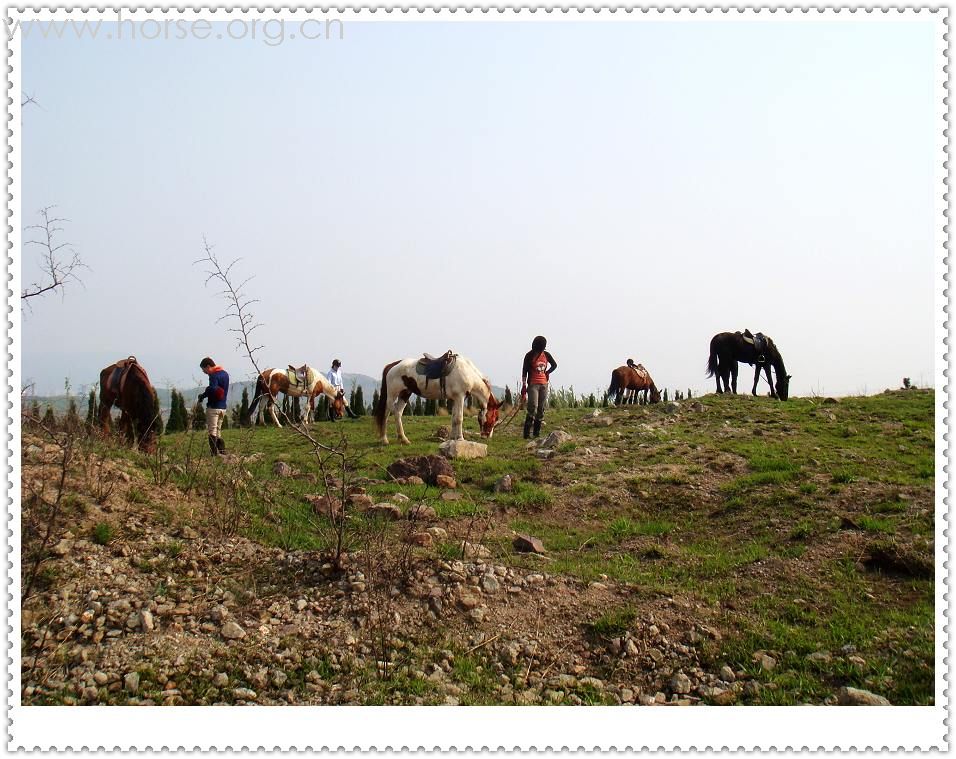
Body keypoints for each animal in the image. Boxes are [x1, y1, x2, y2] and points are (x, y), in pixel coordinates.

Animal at [374, 354, 504, 446]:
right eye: (494, 418)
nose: (487, 436)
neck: (468, 373)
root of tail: (392, 365)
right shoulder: (460, 397)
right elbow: (459, 418)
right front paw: (460, 438)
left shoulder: (455, 399)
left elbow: (454, 418)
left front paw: (452, 438)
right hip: (392, 395)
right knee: (386, 414)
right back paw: (384, 440)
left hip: (405, 394)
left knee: (398, 413)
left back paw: (404, 439)